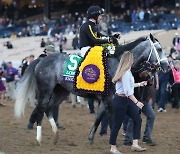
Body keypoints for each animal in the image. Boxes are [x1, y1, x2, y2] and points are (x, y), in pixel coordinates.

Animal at [13, 33, 169, 145]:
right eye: (159, 49)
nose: (167, 66)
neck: (118, 62)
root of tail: (42, 60)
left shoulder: (104, 99)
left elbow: (98, 118)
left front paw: (91, 138)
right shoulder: (111, 99)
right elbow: (112, 120)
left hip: (61, 92)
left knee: (49, 109)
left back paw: (55, 133)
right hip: (45, 91)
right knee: (40, 110)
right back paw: (39, 138)